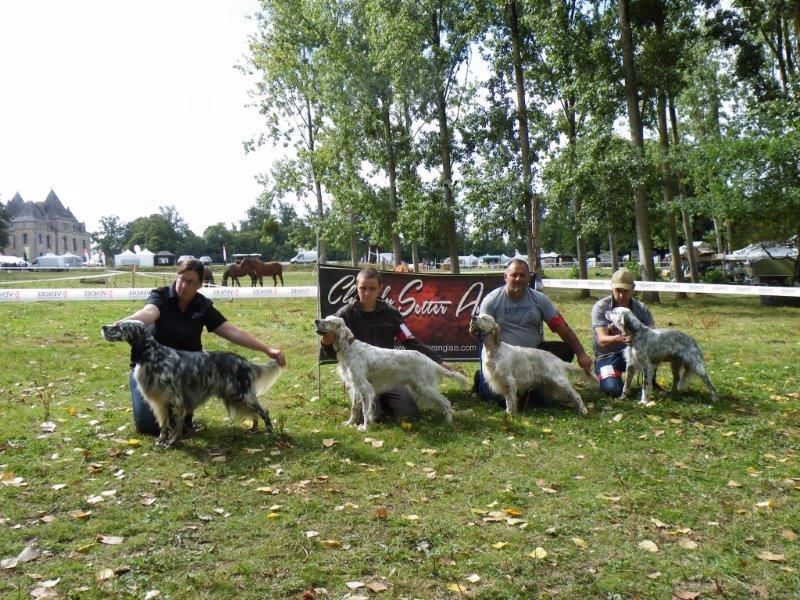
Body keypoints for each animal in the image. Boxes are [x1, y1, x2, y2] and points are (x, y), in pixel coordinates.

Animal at [102, 318, 284, 446]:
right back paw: (253, 428)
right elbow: (164, 424)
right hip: (237, 396)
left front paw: (171, 442)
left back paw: (269, 432)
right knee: (254, 413)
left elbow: (175, 424)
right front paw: (161, 441)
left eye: (120, 327)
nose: (103, 327)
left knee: (264, 411)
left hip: (240, 394)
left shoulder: (175, 400)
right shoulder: (161, 401)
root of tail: (246, 362)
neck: (153, 355)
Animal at [310, 316, 466, 428]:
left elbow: (366, 411)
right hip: (419, 387)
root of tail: (428, 360)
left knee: (446, 402)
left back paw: (448, 422)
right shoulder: (355, 387)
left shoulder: (366, 389)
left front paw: (364, 428)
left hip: (425, 387)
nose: (316, 320)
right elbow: (354, 409)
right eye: (325, 317)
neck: (349, 349)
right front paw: (349, 424)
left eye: (329, 321)